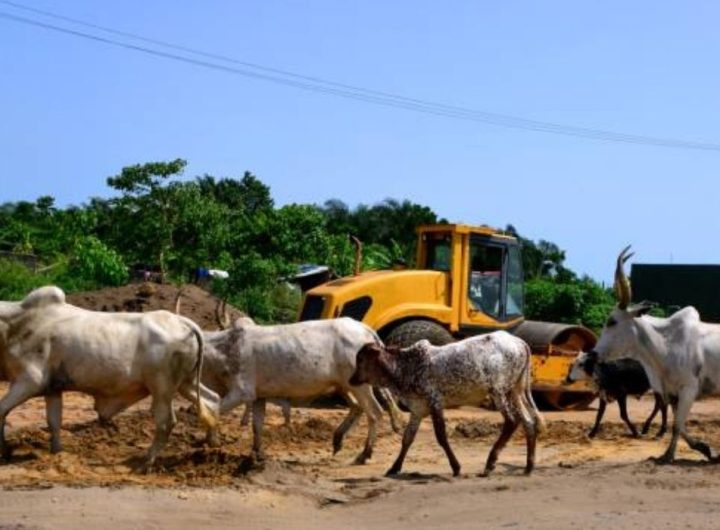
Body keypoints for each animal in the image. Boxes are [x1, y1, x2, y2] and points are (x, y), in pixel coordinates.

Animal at [0, 284, 219, 466]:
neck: (16, 324)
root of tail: (183, 321)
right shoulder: (52, 388)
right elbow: (54, 423)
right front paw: (56, 453)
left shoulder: (29, 381)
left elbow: (2, 410)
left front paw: (4, 452)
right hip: (186, 382)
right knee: (212, 400)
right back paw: (210, 446)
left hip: (162, 387)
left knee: (166, 421)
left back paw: (147, 461)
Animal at [352, 330, 544, 474]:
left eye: (361, 359)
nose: (352, 379)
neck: (407, 367)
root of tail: (519, 341)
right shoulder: (418, 409)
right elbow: (407, 438)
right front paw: (394, 467)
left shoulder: (435, 401)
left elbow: (441, 437)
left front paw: (456, 467)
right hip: (515, 392)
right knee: (528, 422)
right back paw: (529, 466)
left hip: (498, 392)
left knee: (511, 421)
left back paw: (491, 462)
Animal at [588, 245, 720, 460]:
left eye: (612, 321)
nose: (593, 354)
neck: (665, 345)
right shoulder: (672, 393)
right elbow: (679, 425)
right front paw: (705, 448)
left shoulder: (688, 389)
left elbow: (677, 425)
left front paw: (668, 455)